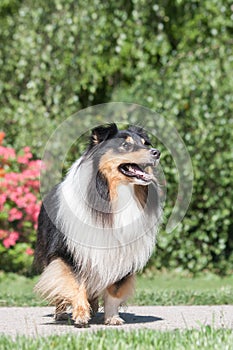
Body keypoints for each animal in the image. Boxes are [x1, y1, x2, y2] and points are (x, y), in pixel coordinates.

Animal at [34, 122, 161, 326]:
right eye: (126, 145)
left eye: (144, 143)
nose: (156, 152)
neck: (115, 192)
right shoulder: (68, 252)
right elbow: (75, 283)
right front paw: (80, 315)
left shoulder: (121, 255)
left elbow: (114, 291)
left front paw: (112, 317)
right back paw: (62, 313)